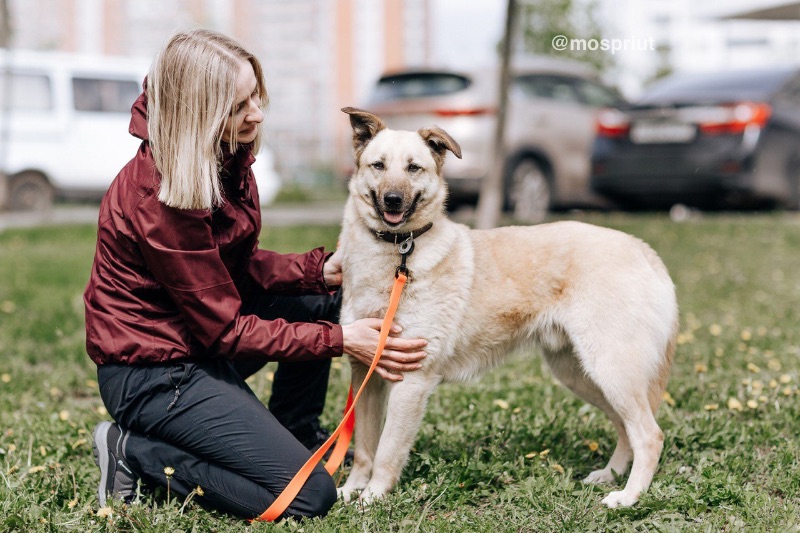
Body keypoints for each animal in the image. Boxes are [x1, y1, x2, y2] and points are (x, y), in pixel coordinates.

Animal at [334, 107, 680, 508]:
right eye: (378, 165)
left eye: (413, 168)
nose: (392, 199)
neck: (396, 255)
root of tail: (642, 248)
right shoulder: (366, 375)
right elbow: (364, 449)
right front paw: (349, 490)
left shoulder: (412, 380)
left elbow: (387, 451)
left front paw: (371, 498)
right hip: (582, 375)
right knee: (626, 429)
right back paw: (610, 475)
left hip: (611, 371)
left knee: (649, 435)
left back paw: (628, 497)